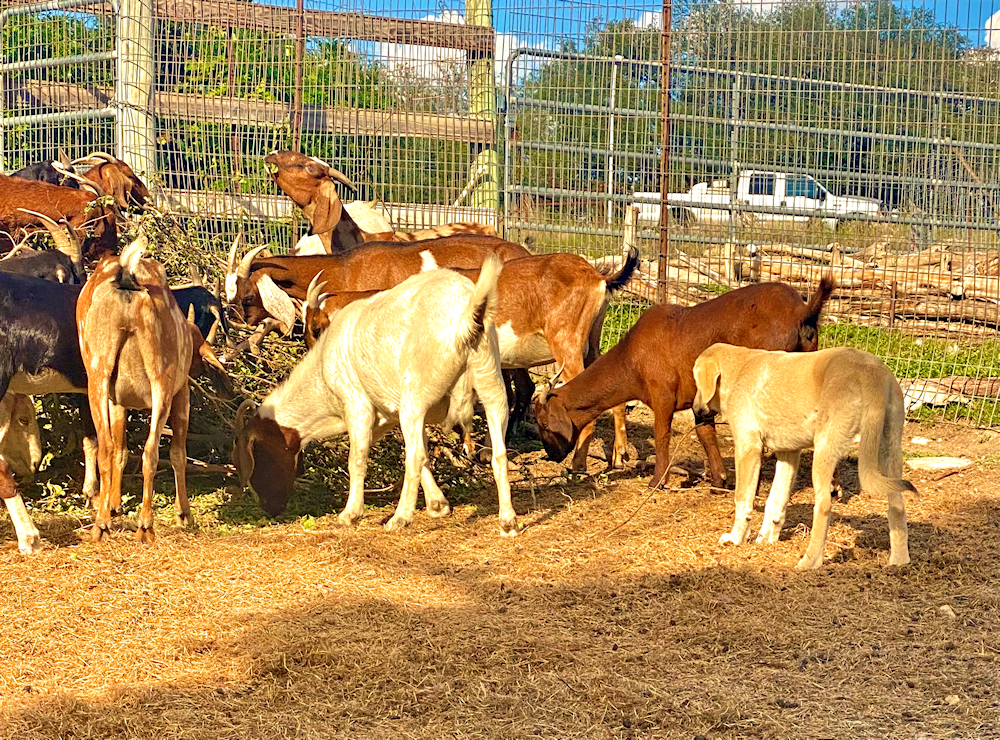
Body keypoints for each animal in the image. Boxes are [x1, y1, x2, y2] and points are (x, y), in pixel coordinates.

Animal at [77, 237, 196, 544]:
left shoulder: (118, 399)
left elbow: (119, 449)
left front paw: (114, 506)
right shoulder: (182, 390)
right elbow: (178, 453)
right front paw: (184, 514)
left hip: (98, 369)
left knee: (108, 446)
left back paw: (101, 525)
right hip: (162, 375)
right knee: (152, 449)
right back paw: (145, 525)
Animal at [234, 253, 516, 532]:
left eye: (257, 459)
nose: (270, 509)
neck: (322, 375)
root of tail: (467, 315)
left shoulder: (357, 406)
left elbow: (358, 458)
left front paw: (350, 514)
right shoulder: (389, 415)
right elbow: (421, 452)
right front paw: (438, 504)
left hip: (414, 397)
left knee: (414, 456)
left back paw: (399, 518)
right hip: (491, 383)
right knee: (498, 452)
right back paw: (508, 520)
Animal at [532, 274, 836, 488]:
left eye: (544, 423)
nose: (553, 456)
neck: (631, 357)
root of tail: (801, 311)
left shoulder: (662, 394)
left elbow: (662, 434)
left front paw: (658, 481)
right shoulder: (699, 401)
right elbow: (705, 433)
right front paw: (719, 479)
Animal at [696, 344, 916, 568]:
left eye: (696, 383)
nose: (695, 410)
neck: (739, 367)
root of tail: (870, 370)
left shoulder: (748, 447)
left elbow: (742, 499)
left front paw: (735, 539)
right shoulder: (788, 454)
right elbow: (775, 500)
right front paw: (767, 538)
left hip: (823, 450)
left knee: (824, 506)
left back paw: (809, 562)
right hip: (889, 451)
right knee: (897, 506)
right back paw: (899, 561)